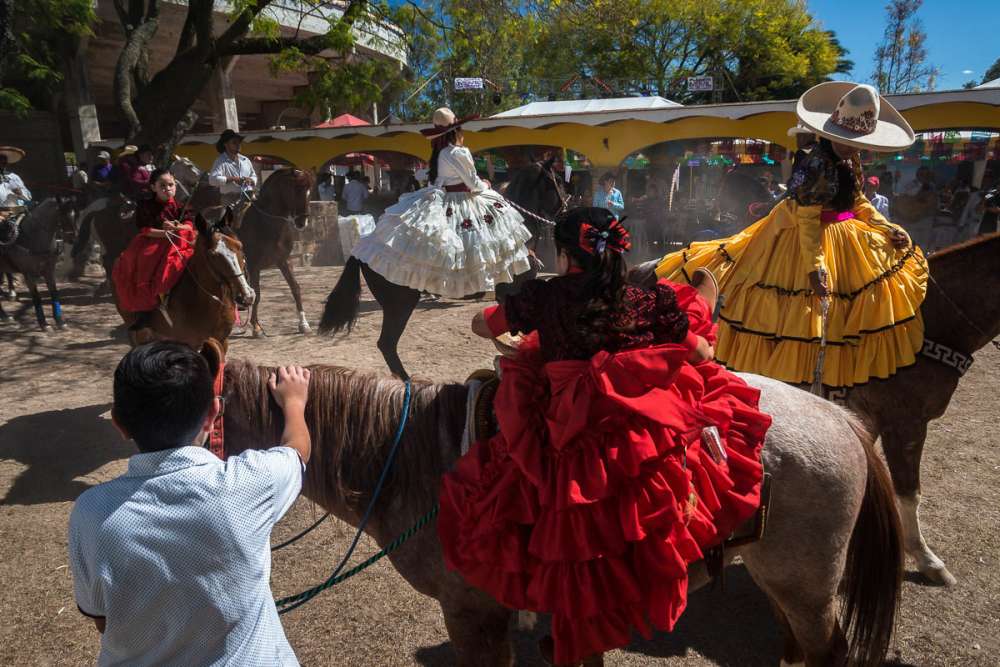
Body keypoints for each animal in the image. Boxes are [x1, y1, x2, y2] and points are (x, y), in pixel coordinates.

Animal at [234, 167, 312, 340]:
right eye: (296, 190)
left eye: (309, 192)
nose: (302, 222)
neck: (267, 223)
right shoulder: (253, 266)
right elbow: (257, 294)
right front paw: (256, 327)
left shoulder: (283, 261)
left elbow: (295, 288)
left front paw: (304, 324)